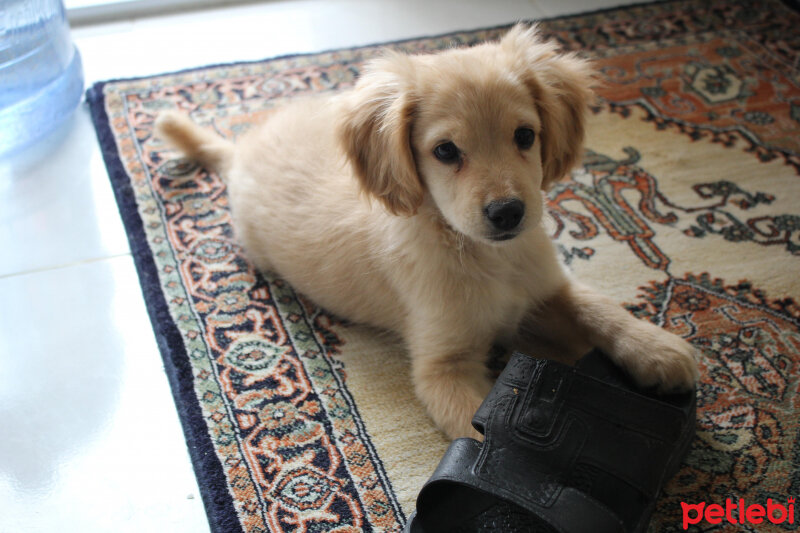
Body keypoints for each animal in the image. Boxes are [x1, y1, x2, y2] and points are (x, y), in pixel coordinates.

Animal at [155, 23, 692, 436]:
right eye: (446, 151)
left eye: (525, 136)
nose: (508, 213)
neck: (485, 255)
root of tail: (239, 152)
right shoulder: (442, 368)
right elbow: (478, 433)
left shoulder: (546, 288)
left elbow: (598, 307)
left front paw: (658, 349)